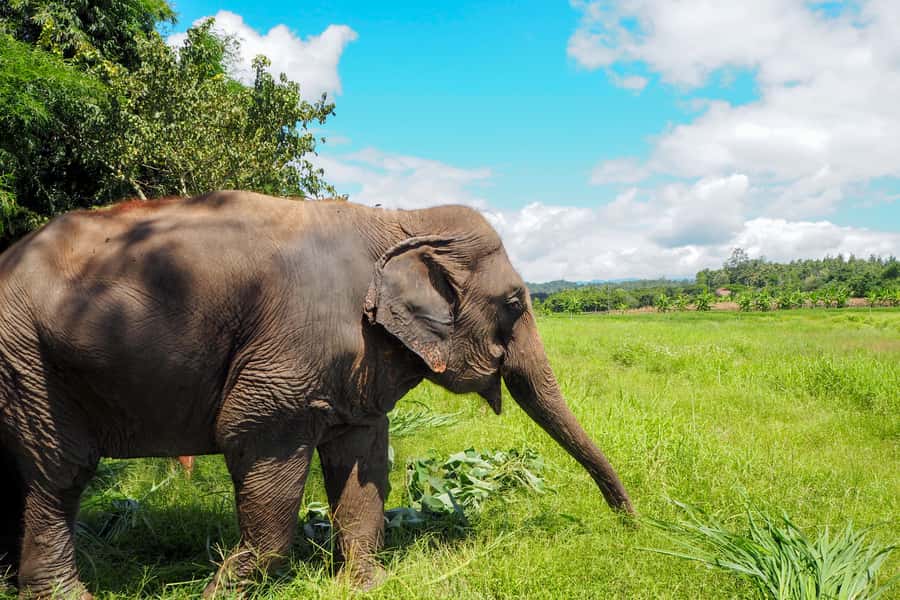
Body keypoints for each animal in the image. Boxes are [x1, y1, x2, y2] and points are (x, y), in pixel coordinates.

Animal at [0, 191, 633, 599]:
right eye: (515, 303)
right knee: (61, 471)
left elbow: (363, 460)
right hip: (29, 357)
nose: (630, 524)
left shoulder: (362, 360)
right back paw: (64, 595)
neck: (400, 219)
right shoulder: (285, 361)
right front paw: (218, 591)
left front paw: (369, 586)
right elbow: (255, 437)